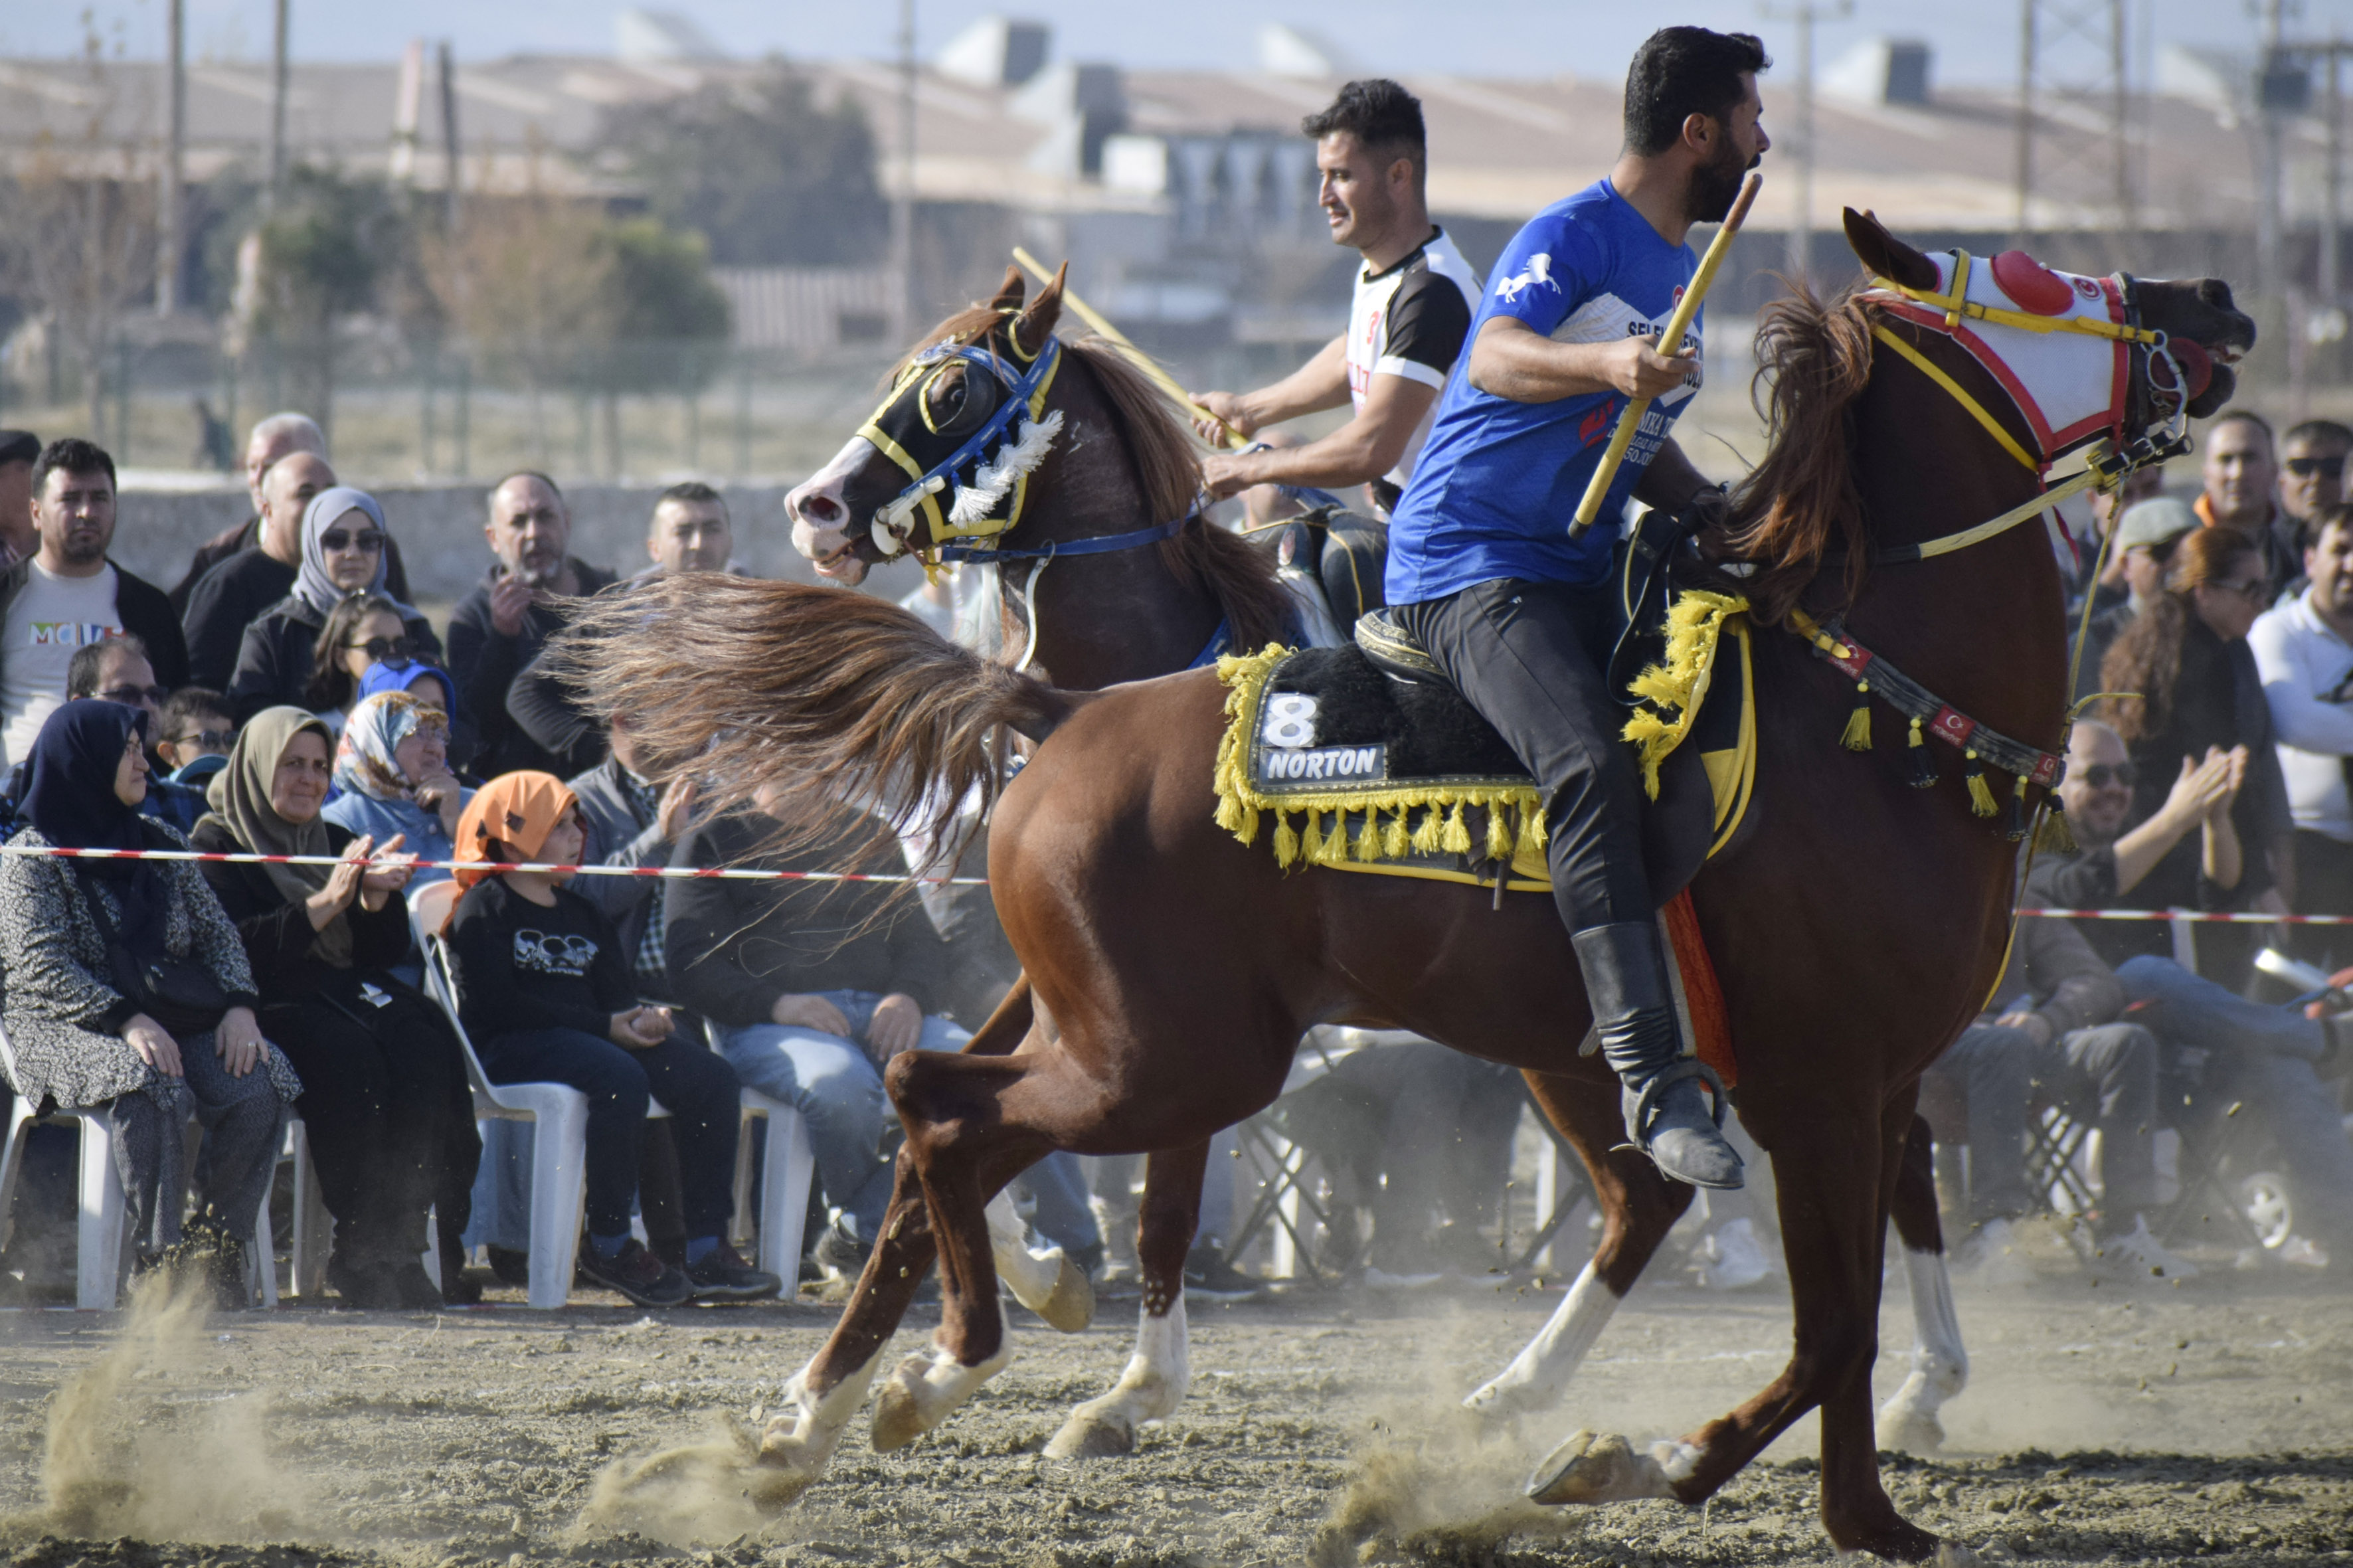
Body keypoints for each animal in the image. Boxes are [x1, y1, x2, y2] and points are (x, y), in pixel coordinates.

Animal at [578, 222, 2249, 1563]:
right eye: (2043, 279)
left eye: (947, 387)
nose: (2217, 296)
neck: (1859, 699)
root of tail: (1054, 716)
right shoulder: (1822, 1070)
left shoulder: (1829, 1069)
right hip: (1241, 1047)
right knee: (947, 1108)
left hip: (1327, 1046)